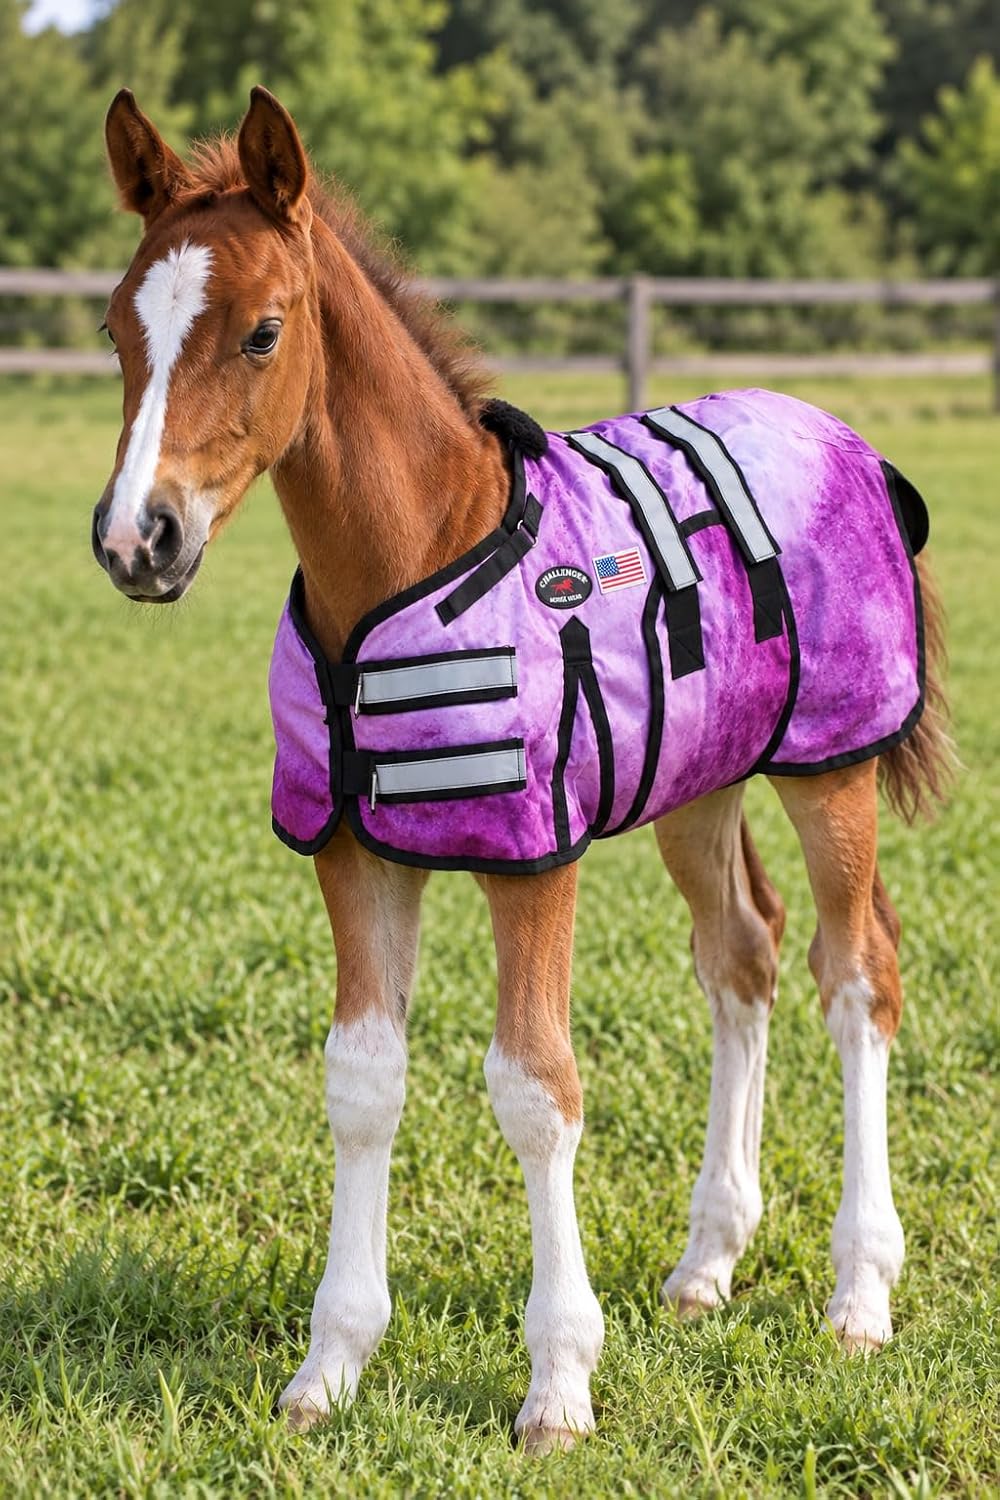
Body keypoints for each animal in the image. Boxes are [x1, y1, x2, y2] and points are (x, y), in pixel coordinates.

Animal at [91, 86, 950, 1453]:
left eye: (264, 332)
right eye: (120, 327)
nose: (139, 540)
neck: (407, 561)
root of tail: (838, 432)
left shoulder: (531, 859)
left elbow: (535, 1087)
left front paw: (557, 1387)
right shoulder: (355, 854)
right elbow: (362, 1081)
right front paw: (328, 1369)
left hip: (831, 770)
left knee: (856, 970)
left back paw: (858, 1291)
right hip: (698, 784)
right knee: (742, 960)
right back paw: (708, 1262)